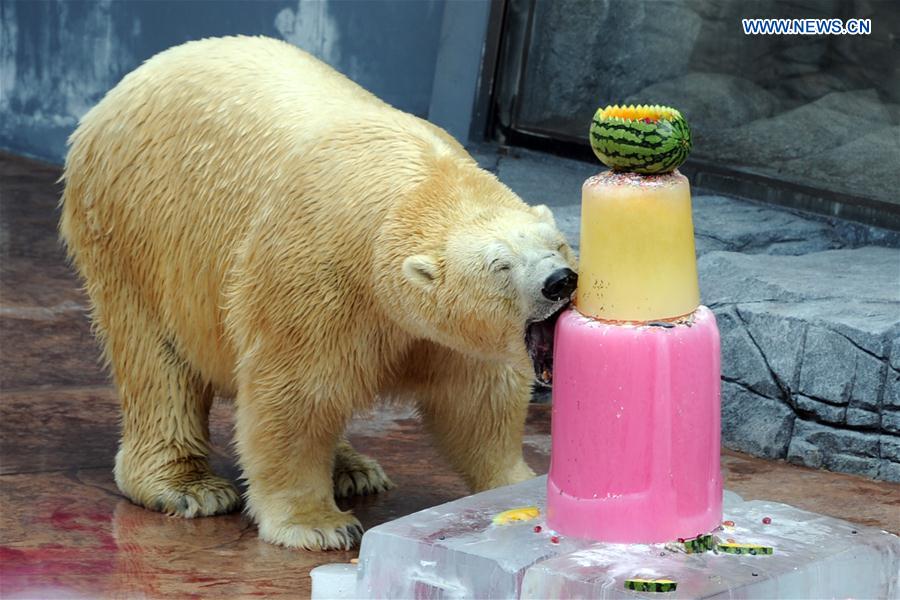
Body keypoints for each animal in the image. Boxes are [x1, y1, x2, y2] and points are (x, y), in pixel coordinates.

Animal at [59, 34, 576, 548]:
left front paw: (516, 483)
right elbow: (296, 394)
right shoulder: (315, 272)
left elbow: (478, 398)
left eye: (558, 244)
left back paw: (354, 470)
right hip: (133, 228)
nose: (560, 281)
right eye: (500, 265)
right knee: (155, 359)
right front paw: (319, 524)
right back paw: (189, 487)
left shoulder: (438, 328)